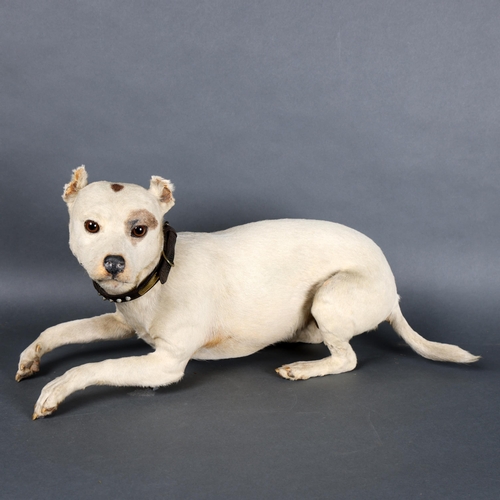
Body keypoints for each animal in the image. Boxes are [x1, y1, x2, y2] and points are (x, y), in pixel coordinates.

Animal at [16, 167, 480, 418]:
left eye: (140, 229)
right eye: (90, 226)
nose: (113, 264)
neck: (160, 277)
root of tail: (393, 289)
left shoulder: (165, 365)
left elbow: (93, 367)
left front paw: (56, 389)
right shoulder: (121, 323)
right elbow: (59, 330)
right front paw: (31, 357)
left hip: (331, 296)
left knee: (347, 359)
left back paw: (304, 369)